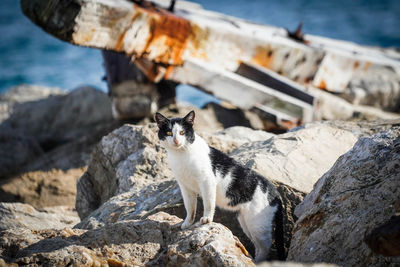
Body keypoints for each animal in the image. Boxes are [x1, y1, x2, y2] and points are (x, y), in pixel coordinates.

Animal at [155, 110, 284, 262]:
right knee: (259, 247)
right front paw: (188, 223)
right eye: (169, 132)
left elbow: (208, 203)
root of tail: (275, 193)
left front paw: (206, 219)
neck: (181, 156)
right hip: (246, 222)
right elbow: (190, 207)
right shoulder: (185, 187)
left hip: (258, 224)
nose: (176, 140)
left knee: (265, 247)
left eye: (182, 132)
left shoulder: (207, 181)